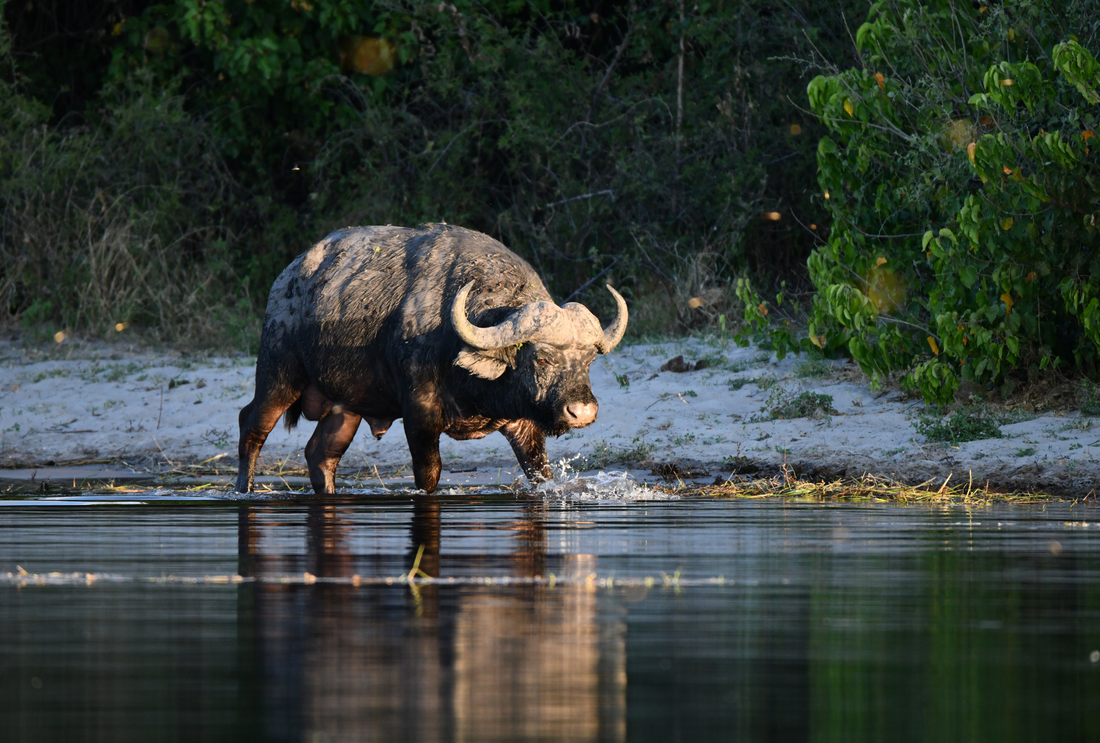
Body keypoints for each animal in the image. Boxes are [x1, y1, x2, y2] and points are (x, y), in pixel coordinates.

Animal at [235, 224, 628, 494]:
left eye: (588, 361)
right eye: (542, 359)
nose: (582, 411)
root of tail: (287, 278)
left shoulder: (522, 421)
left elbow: (540, 471)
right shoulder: (419, 414)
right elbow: (429, 473)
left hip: (344, 408)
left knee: (321, 455)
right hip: (278, 374)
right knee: (251, 425)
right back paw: (245, 489)